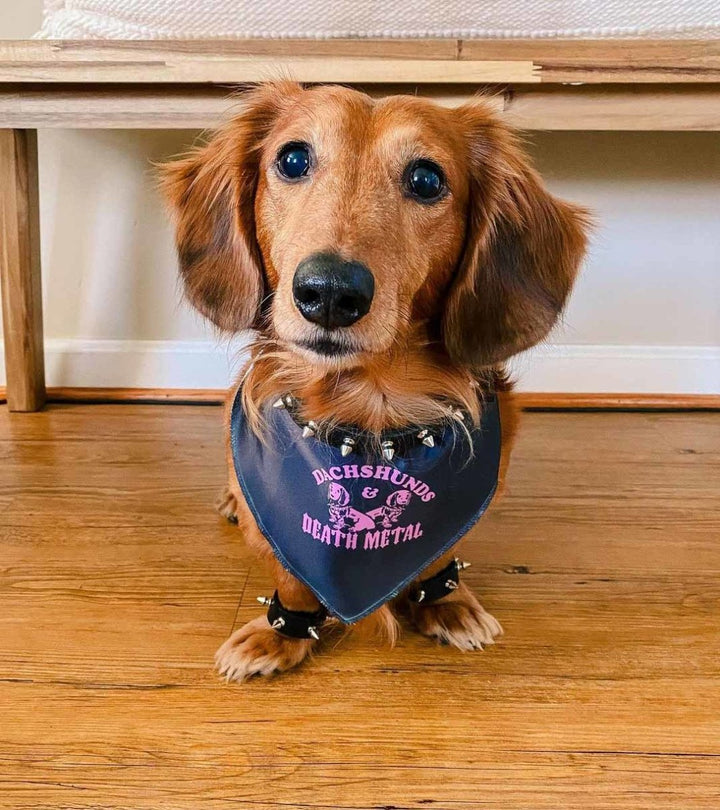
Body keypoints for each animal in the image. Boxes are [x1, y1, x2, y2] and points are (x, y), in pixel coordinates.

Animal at [165, 82, 592, 680]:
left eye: (426, 179)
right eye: (292, 160)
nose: (329, 292)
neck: (369, 407)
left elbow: (441, 549)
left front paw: (446, 600)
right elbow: (291, 572)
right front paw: (282, 632)